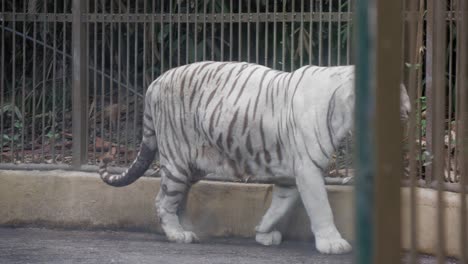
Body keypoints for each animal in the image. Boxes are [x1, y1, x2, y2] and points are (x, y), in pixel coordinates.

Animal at [98, 61, 410, 254]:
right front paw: (332, 244)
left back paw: (184, 228)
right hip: (177, 159)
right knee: (162, 200)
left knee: (176, 198)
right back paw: (177, 235)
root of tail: (155, 81)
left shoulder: (291, 174)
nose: (408, 113)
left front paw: (262, 232)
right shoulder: (308, 168)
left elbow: (280, 205)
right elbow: (321, 207)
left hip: (192, 165)